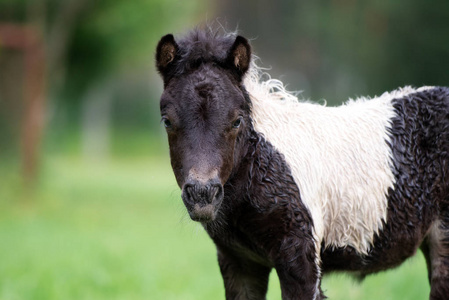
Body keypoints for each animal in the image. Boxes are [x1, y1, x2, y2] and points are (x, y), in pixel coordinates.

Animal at [155, 28, 448, 300]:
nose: (202, 194)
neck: (260, 165)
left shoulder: (301, 258)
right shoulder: (239, 262)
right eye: (167, 121)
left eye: (237, 120)